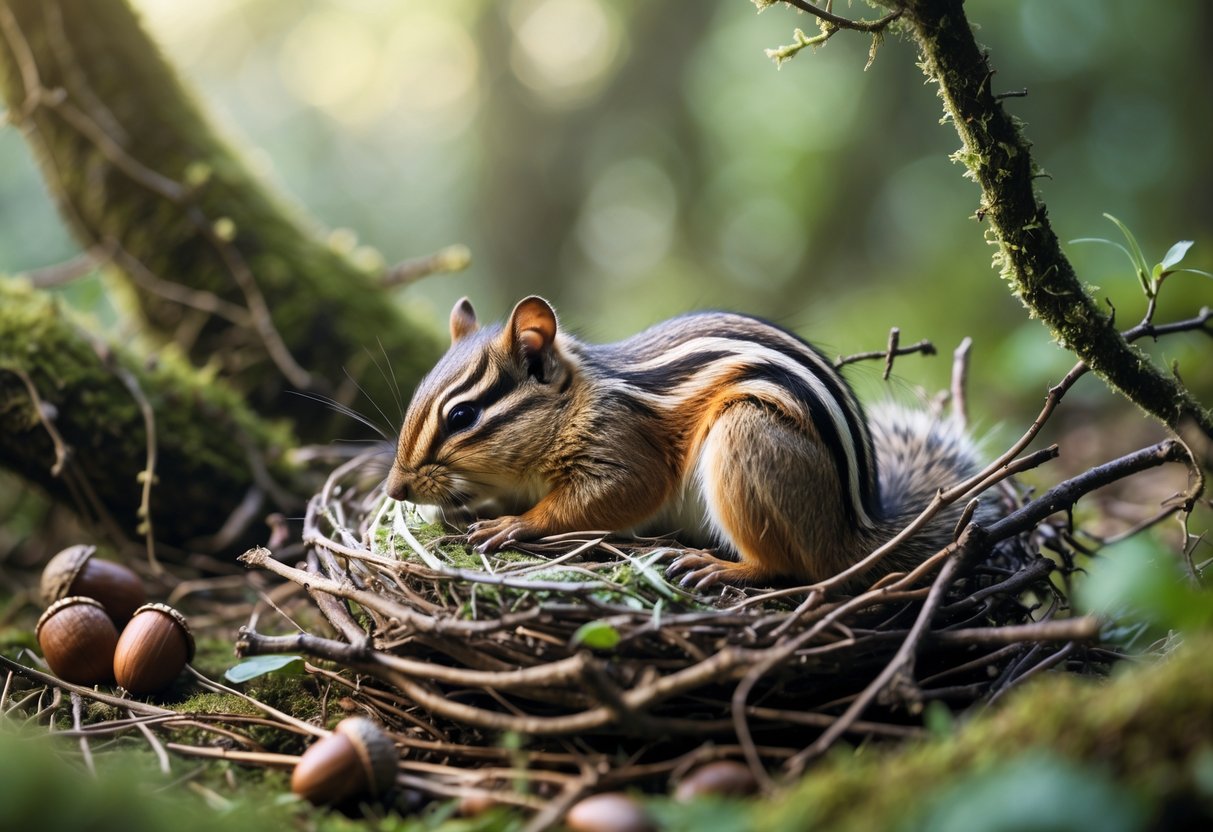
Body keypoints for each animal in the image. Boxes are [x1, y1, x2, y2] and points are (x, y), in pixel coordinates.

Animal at [385, 296, 985, 589]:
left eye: (462, 415)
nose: (394, 490)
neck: (577, 400)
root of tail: (859, 534)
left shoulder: (623, 448)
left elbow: (615, 495)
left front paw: (515, 524)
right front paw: (469, 511)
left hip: (745, 438)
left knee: (795, 568)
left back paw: (722, 568)